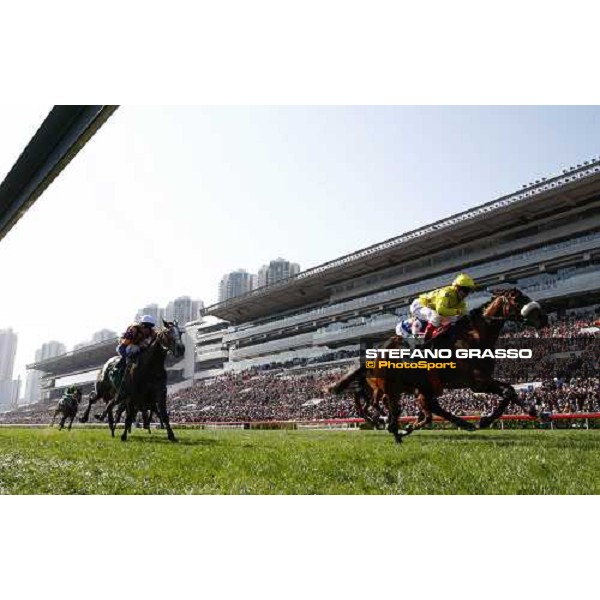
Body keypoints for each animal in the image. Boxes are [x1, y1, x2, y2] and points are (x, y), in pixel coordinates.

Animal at [332, 288, 548, 442]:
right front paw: (485, 419)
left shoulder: (480, 380)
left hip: (416, 387)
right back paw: (390, 425)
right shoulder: (476, 382)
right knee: (382, 404)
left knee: (421, 408)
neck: (474, 337)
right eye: (517, 299)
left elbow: (510, 390)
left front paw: (535, 412)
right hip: (391, 386)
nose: (543, 317)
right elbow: (507, 391)